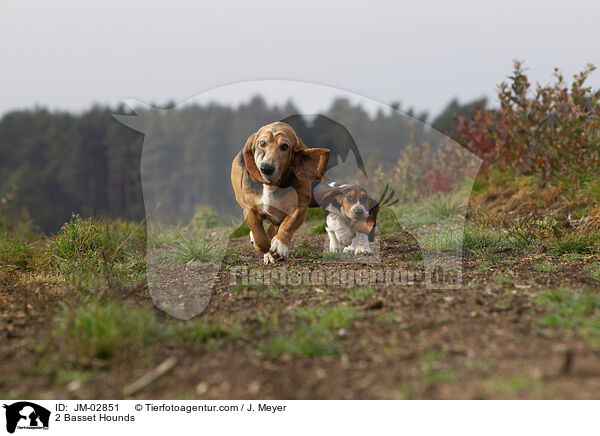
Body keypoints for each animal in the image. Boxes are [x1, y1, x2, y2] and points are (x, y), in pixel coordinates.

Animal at [231, 121, 332, 264]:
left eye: (284, 146)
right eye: (262, 143)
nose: (266, 168)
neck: (272, 186)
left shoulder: (299, 207)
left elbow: (287, 226)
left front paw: (279, 246)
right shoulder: (250, 209)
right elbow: (260, 237)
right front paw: (264, 247)